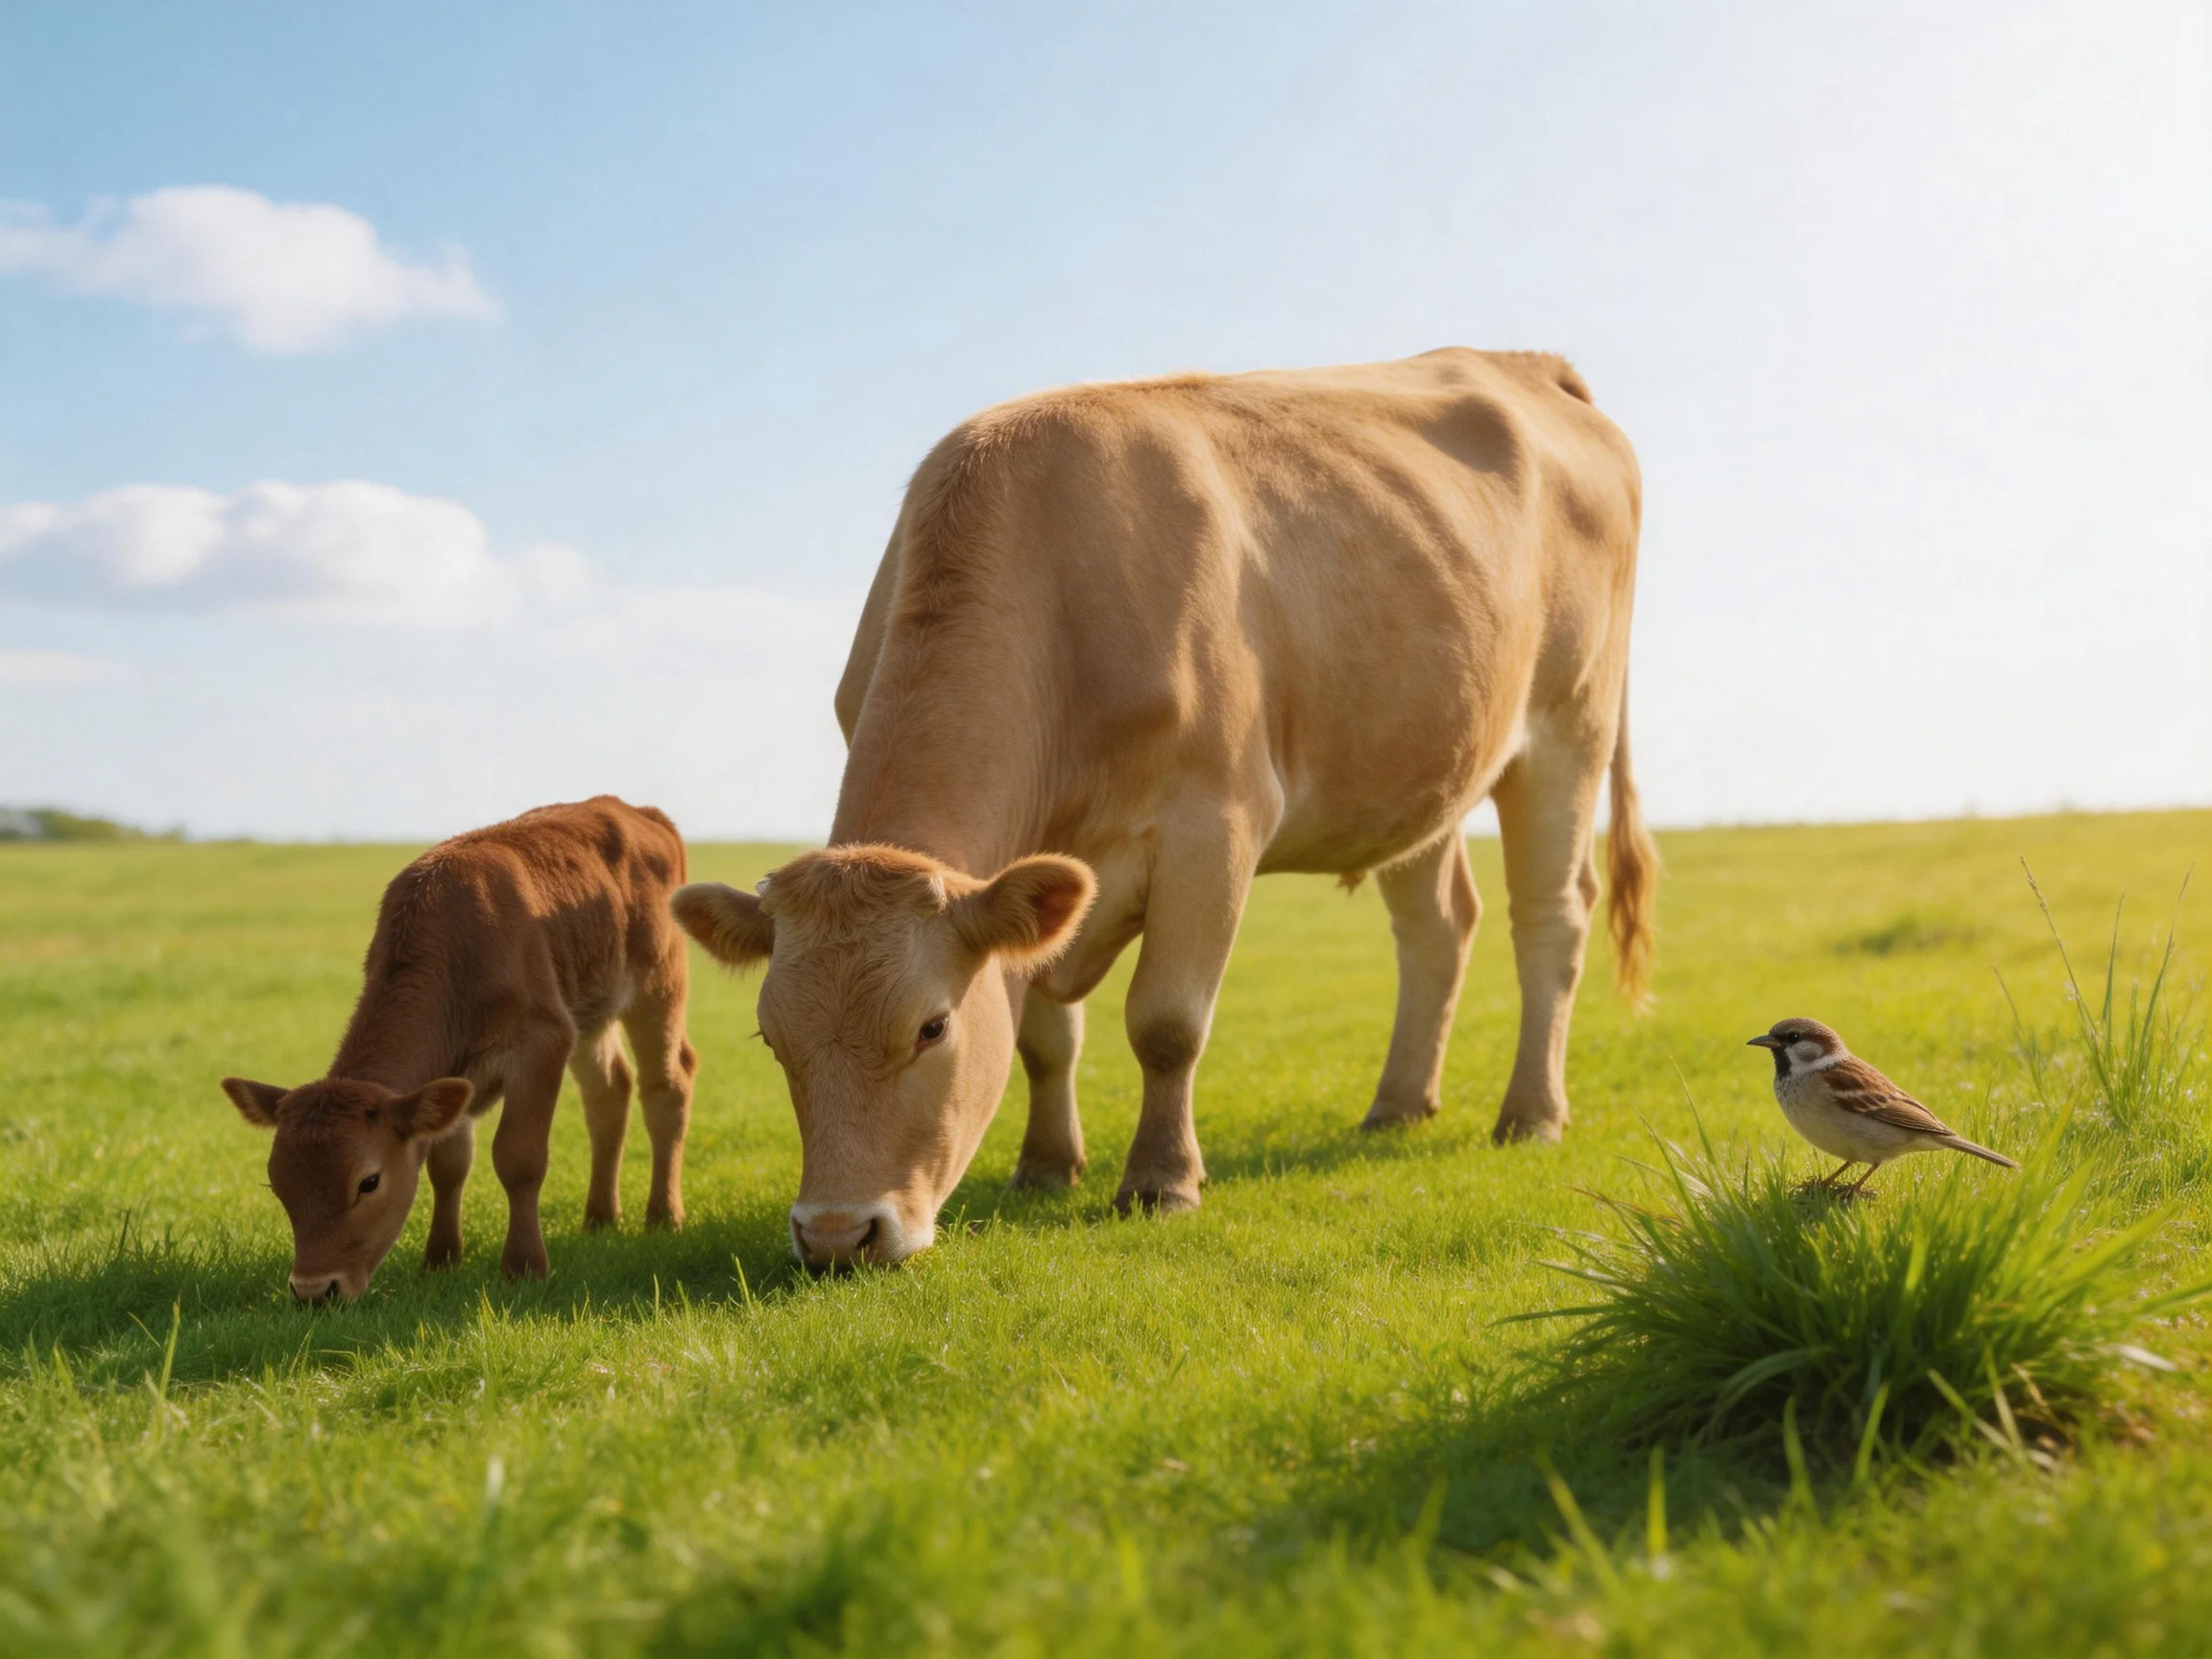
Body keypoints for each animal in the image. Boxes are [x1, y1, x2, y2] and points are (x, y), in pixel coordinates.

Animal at [222, 796, 697, 1301]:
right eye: (278, 1184)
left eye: (368, 1182)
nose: (314, 1290)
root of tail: (637, 810)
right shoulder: (452, 1075)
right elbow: (448, 1165)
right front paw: (441, 1260)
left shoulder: (543, 1042)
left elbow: (519, 1157)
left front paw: (524, 1267)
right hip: (590, 1011)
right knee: (608, 1090)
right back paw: (600, 1218)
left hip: (659, 985)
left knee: (666, 1086)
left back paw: (663, 1216)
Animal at [673, 348, 1655, 1269]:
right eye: (771, 1037)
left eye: (931, 1026)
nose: (837, 1234)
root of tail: (1523, 365)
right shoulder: (1036, 881)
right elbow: (1044, 1037)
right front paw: (1045, 1165)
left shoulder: (1213, 826)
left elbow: (1167, 1023)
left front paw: (1161, 1181)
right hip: (1418, 759)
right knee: (1439, 927)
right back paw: (1397, 1105)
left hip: (1569, 725)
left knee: (1550, 919)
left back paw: (1531, 1114)